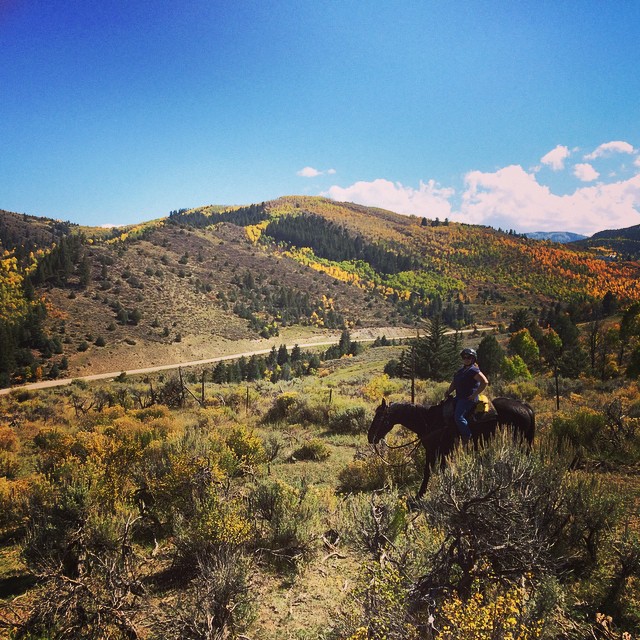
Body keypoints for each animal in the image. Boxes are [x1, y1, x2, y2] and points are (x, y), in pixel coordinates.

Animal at [368, 396, 532, 500]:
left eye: (380, 417)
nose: (370, 437)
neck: (430, 420)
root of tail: (525, 407)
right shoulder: (433, 450)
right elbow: (429, 471)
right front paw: (421, 494)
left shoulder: (443, 450)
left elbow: (439, 470)